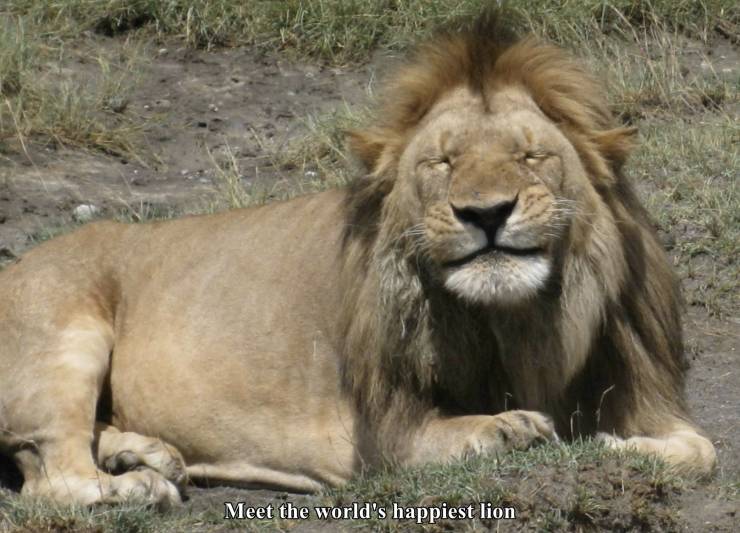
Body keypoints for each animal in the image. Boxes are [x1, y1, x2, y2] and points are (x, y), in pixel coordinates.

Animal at [0, 14, 716, 508]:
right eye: (442, 162)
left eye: (530, 155)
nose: (485, 213)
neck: (523, 322)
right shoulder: (382, 436)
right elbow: (456, 435)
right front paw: (511, 428)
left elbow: (703, 450)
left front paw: (618, 445)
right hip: (64, 338)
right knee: (50, 474)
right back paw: (136, 486)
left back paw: (149, 455)